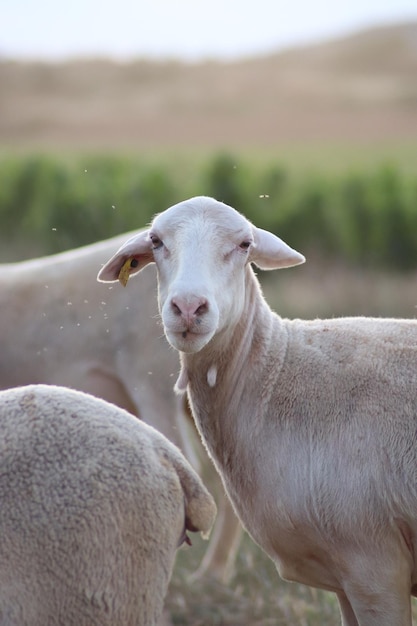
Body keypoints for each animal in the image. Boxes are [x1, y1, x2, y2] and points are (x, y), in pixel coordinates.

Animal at [98, 195, 417, 624]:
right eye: (156, 241)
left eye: (245, 244)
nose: (188, 307)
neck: (277, 375)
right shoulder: (346, 576)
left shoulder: (374, 566)